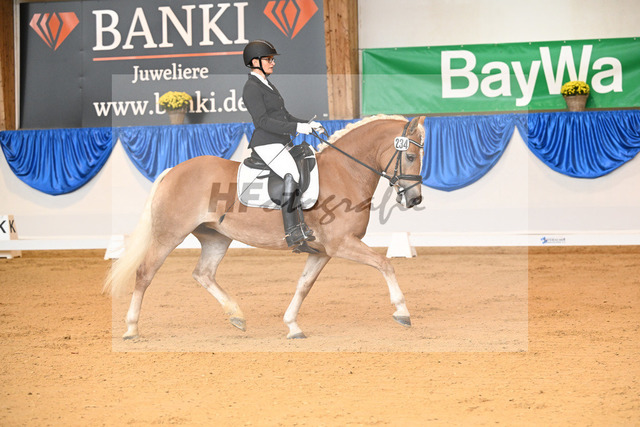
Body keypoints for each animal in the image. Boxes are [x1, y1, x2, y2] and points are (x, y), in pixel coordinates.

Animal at [104, 114, 426, 340]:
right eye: (410, 156)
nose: (414, 199)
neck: (344, 172)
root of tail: (173, 170)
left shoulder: (322, 251)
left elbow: (304, 285)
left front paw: (292, 325)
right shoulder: (341, 243)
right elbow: (385, 264)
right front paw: (402, 311)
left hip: (216, 237)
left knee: (203, 273)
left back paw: (236, 316)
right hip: (169, 235)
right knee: (145, 273)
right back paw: (131, 329)